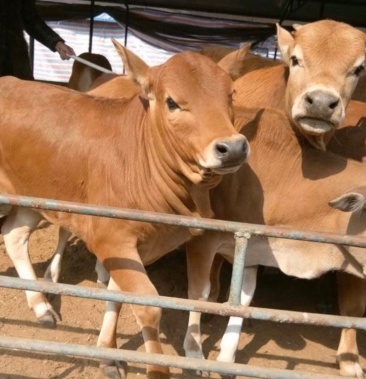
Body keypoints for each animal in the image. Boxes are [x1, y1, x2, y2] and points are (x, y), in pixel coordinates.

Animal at [0, 40, 249, 378]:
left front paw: (108, 354)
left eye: (231, 94)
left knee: (13, 234)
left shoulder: (134, 247)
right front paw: (155, 369)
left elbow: (119, 296)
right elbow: (147, 307)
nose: (233, 148)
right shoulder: (112, 238)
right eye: (172, 102)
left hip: (35, 197)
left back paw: (41, 306)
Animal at [184, 107, 366, 379]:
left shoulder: (250, 248)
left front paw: (227, 358)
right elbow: (198, 294)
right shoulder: (203, 239)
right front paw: (194, 355)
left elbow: (243, 298)